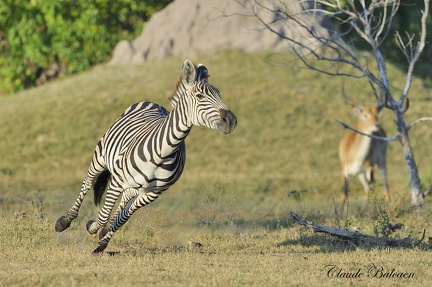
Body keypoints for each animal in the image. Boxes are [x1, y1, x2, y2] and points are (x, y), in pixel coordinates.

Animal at [54, 59, 238, 253]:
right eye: (200, 96)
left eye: (219, 94)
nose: (231, 121)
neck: (163, 153)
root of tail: (153, 103)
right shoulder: (117, 180)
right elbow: (103, 215)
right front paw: (92, 227)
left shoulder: (152, 194)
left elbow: (122, 219)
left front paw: (102, 243)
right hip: (101, 157)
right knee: (88, 183)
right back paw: (65, 221)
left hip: (135, 186)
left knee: (124, 200)